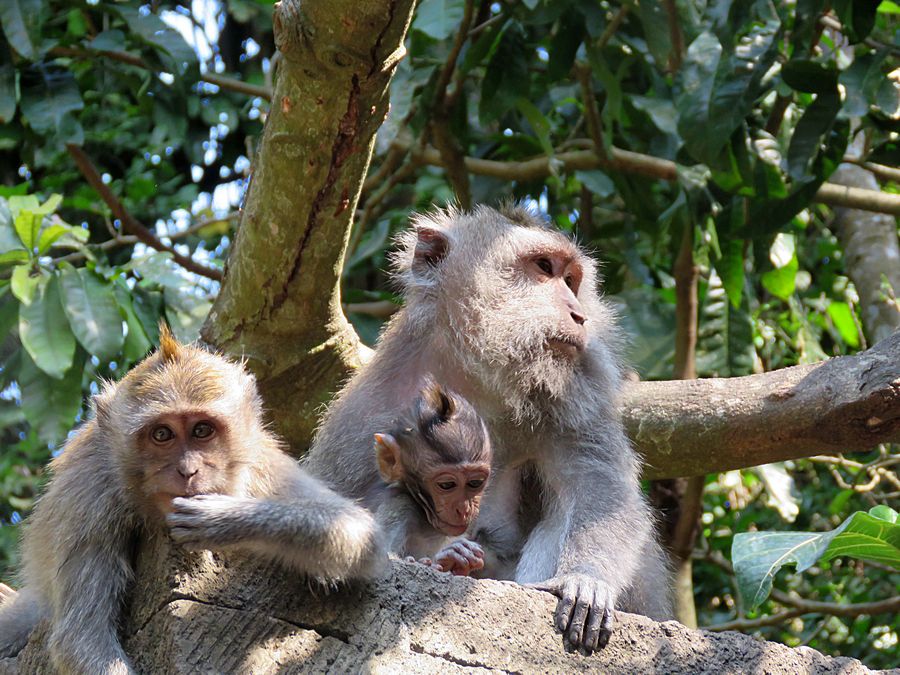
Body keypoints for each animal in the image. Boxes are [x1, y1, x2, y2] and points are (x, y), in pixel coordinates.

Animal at [0, 326, 385, 674]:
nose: (187, 470)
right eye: (162, 434)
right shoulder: (88, 495)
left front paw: (225, 520)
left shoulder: (261, 467)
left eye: (202, 430)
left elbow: (358, 533)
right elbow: (81, 638)